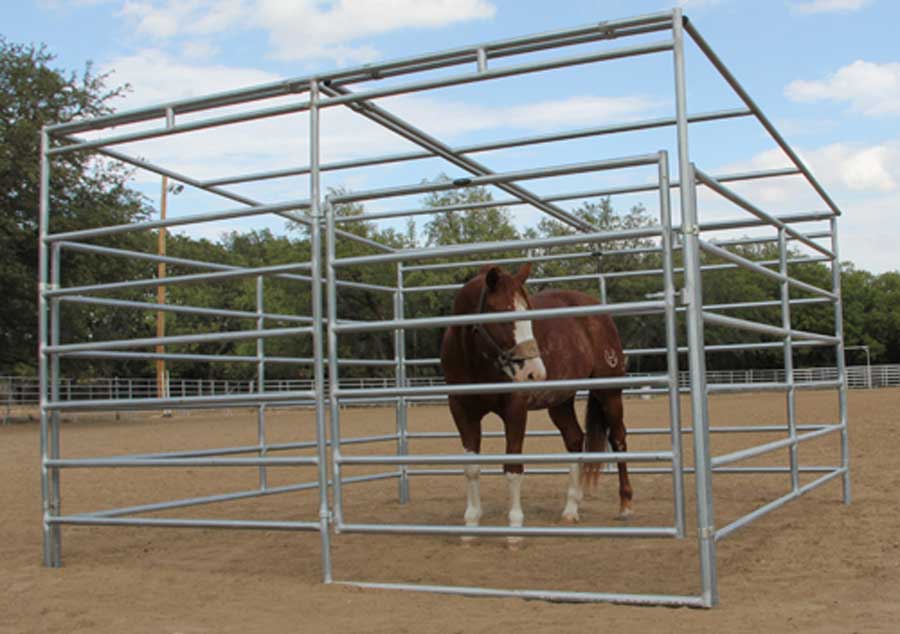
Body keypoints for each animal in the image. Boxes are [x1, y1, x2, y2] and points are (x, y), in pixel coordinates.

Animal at [439, 262, 632, 548]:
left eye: (529, 315)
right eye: (502, 313)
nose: (535, 373)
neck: (475, 359)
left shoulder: (515, 411)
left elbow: (513, 469)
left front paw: (514, 530)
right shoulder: (462, 413)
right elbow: (471, 469)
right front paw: (471, 526)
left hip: (608, 393)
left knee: (618, 439)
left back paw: (626, 506)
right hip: (561, 402)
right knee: (575, 440)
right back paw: (570, 509)